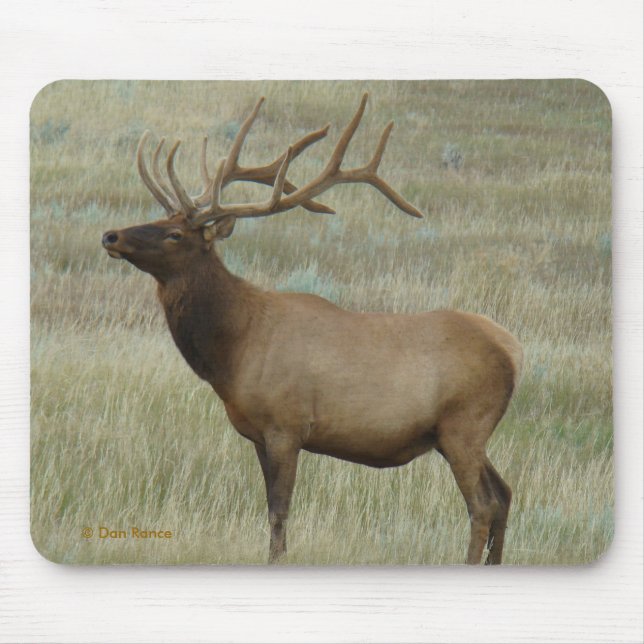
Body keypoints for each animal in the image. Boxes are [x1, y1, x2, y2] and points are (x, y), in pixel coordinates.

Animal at [102, 93, 522, 565]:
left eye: (175, 233)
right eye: (157, 218)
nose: (111, 235)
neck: (233, 351)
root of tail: (514, 350)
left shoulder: (286, 425)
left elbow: (279, 511)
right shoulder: (256, 434)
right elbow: (271, 509)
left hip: (464, 424)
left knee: (482, 504)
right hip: (462, 434)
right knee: (504, 493)